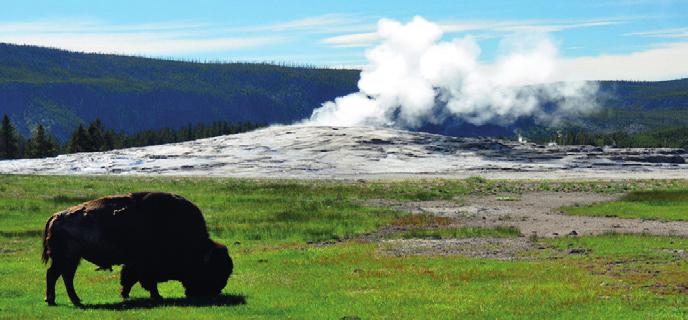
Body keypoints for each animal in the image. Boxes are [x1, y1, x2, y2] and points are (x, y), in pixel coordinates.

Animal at [42, 191, 234, 306]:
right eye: (213, 270)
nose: (214, 293)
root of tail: (56, 216)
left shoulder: (134, 264)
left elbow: (130, 279)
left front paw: (125, 294)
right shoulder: (145, 266)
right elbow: (145, 281)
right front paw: (156, 296)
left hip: (72, 259)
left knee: (63, 277)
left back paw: (74, 301)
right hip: (67, 258)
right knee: (56, 275)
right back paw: (56, 300)